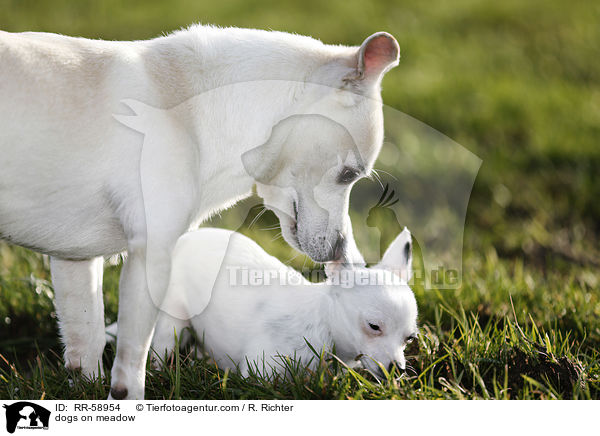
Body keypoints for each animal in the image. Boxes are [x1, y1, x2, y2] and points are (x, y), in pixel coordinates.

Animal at [108, 228, 418, 378]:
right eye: (373, 327)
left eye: (410, 339)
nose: (398, 369)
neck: (322, 325)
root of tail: (186, 238)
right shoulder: (261, 373)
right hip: (172, 316)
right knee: (162, 345)